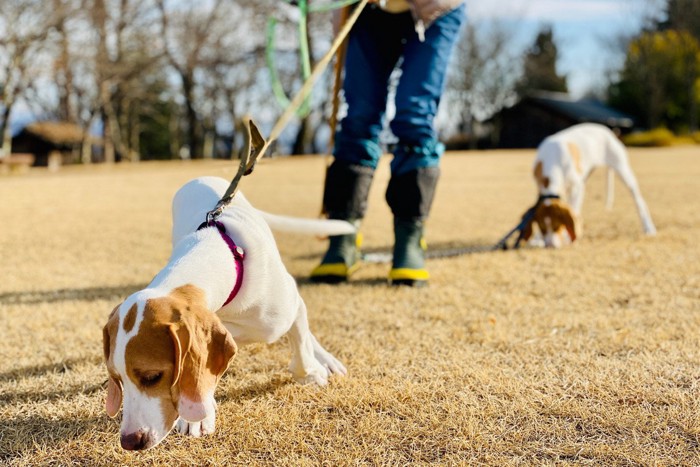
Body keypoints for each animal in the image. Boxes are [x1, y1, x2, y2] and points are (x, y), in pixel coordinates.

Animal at [102, 177, 356, 452]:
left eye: (152, 377)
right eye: (116, 378)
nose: (129, 441)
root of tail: (202, 178)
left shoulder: (285, 309)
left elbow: (300, 345)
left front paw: (309, 373)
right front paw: (197, 418)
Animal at [524, 123, 656, 249]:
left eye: (557, 226)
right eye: (542, 228)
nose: (550, 245)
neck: (551, 160)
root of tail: (607, 130)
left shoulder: (577, 187)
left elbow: (574, 208)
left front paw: (568, 236)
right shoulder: (542, 188)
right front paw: (537, 240)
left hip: (622, 168)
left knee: (638, 198)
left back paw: (649, 227)